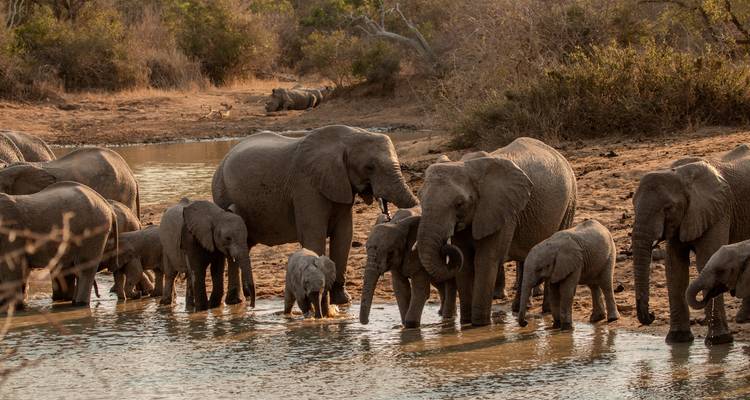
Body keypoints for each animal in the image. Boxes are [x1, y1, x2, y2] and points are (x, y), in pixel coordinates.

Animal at [212, 125, 418, 305]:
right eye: (370, 167)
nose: (388, 215)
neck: (349, 138)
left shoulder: (341, 185)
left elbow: (344, 236)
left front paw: (343, 301)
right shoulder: (306, 185)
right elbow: (314, 235)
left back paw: (240, 300)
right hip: (222, 192)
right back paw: (236, 302)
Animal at [417, 137, 577, 326]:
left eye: (459, 204)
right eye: (419, 197)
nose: (445, 246)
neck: (466, 165)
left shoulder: (502, 210)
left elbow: (486, 260)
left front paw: (480, 325)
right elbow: (465, 262)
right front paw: (466, 323)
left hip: (570, 201)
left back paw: (546, 310)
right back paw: (519, 308)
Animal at [632, 144, 750, 344]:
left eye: (668, 208)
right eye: (633, 205)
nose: (651, 315)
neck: (680, 174)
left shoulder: (718, 210)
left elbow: (706, 259)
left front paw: (720, 341)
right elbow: (674, 267)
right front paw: (678, 339)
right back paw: (743, 318)